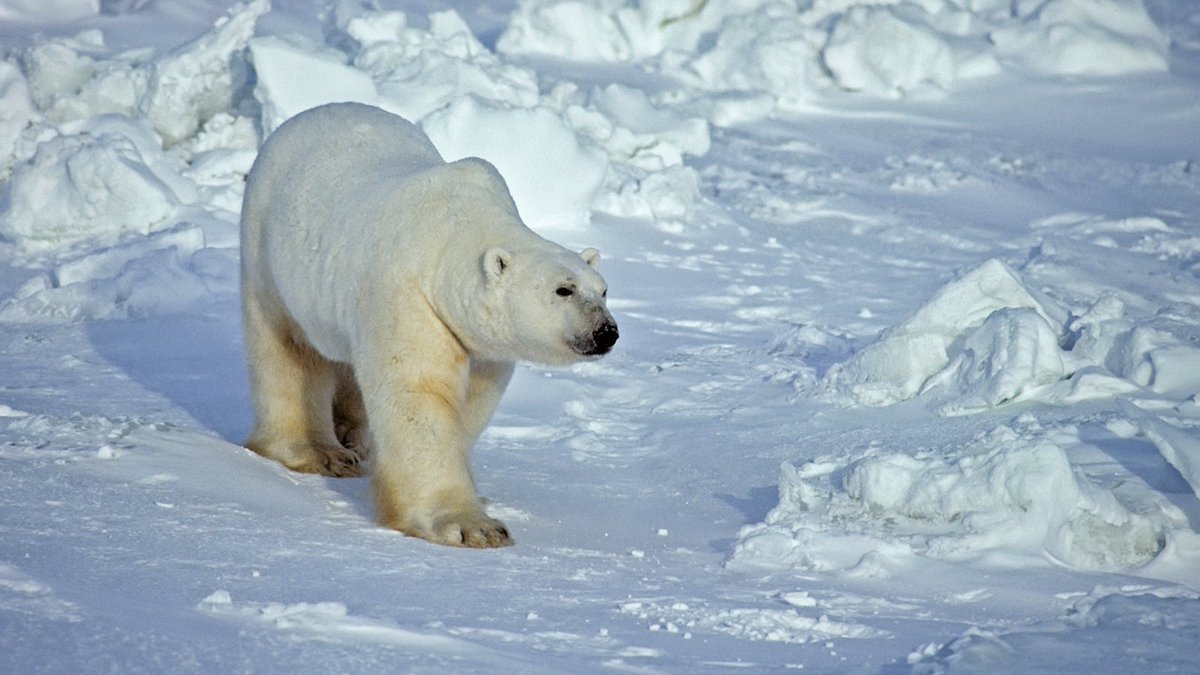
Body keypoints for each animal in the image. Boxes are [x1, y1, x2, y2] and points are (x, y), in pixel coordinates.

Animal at [239, 102, 618, 548]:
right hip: (267, 250)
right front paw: (475, 527)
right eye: (563, 289)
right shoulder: (409, 295)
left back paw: (357, 440)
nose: (606, 332)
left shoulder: (479, 342)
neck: (454, 231)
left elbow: (471, 403)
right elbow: (419, 393)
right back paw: (322, 453)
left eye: (603, 290)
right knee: (288, 350)